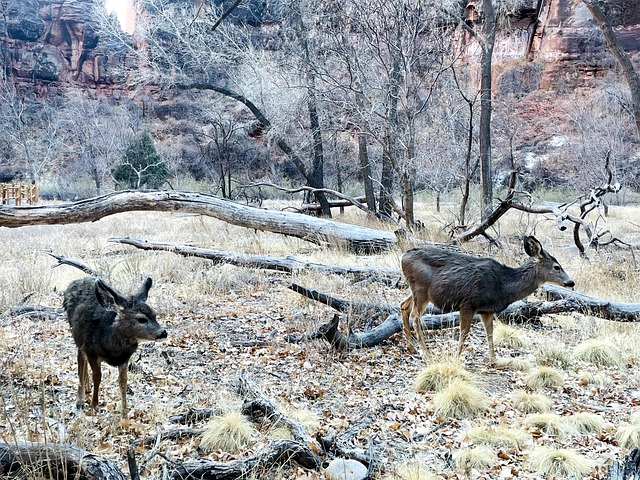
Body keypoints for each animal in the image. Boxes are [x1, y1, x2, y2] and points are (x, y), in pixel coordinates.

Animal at [62, 278, 166, 412]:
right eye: (141, 319)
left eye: (155, 315)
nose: (163, 332)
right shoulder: (91, 351)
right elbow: (97, 377)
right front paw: (94, 406)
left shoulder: (124, 359)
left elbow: (123, 382)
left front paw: (125, 411)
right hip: (78, 336)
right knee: (81, 360)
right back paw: (80, 400)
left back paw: (87, 388)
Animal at [400, 236, 576, 364]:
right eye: (556, 267)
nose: (571, 282)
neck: (503, 285)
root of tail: (403, 256)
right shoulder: (468, 303)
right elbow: (464, 333)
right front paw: (457, 358)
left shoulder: (486, 310)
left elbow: (490, 333)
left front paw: (494, 361)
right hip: (421, 289)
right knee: (415, 315)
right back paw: (425, 353)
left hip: (418, 291)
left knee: (403, 305)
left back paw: (411, 348)